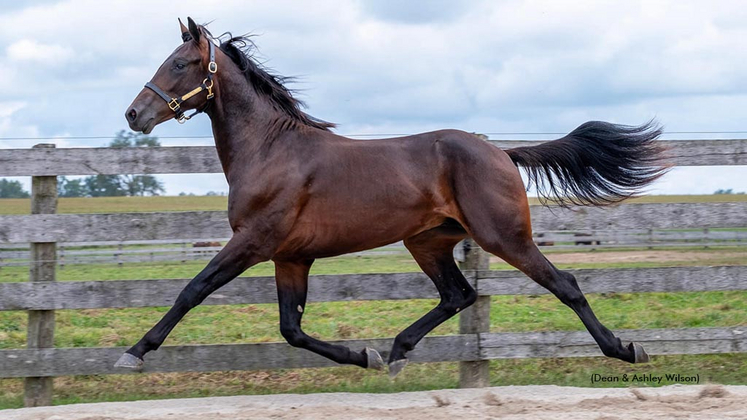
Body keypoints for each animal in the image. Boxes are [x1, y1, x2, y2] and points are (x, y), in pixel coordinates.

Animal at [118, 18, 672, 376]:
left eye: (182, 63)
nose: (134, 114)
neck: (271, 149)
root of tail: (501, 152)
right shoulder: (290, 256)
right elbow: (291, 328)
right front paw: (364, 356)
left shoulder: (254, 241)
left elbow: (193, 290)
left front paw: (136, 351)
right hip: (428, 241)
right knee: (458, 294)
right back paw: (397, 351)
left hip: (503, 236)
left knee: (565, 284)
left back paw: (625, 350)